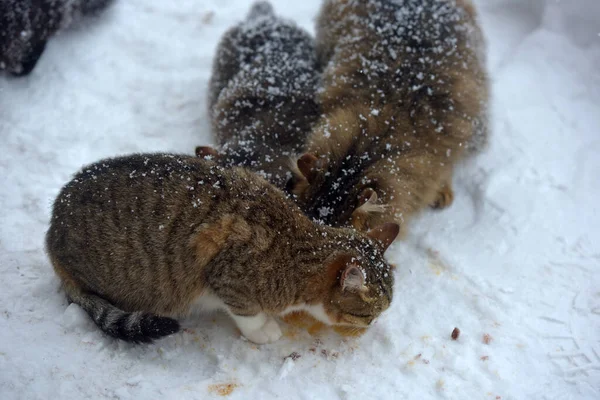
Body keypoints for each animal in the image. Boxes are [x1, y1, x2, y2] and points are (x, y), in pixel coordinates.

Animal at [47, 153, 398, 344]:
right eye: (369, 314)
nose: (373, 326)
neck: (298, 247)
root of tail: (50, 233)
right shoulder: (227, 278)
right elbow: (247, 313)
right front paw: (263, 330)